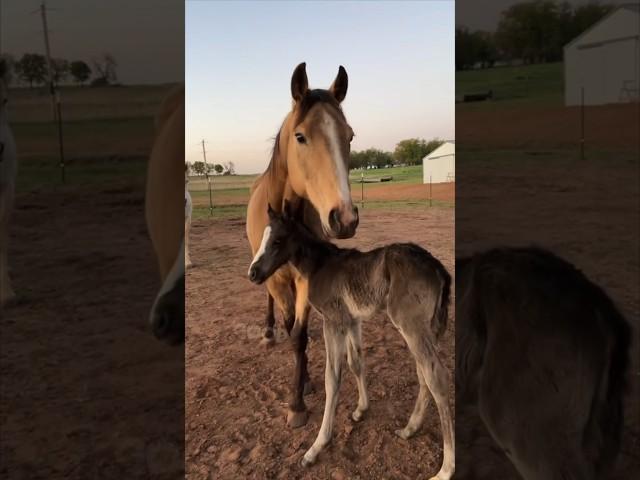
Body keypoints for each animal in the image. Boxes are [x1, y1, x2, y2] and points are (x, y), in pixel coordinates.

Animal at [248, 203, 452, 480]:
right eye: (263, 238)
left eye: (278, 240)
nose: (253, 273)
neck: (319, 265)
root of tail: (439, 269)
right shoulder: (352, 321)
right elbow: (357, 362)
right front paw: (360, 410)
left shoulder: (333, 321)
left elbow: (332, 378)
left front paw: (316, 447)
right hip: (426, 329)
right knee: (424, 376)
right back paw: (410, 429)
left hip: (411, 327)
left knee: (436, 378)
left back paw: (446, 468)